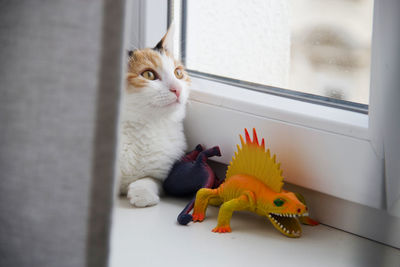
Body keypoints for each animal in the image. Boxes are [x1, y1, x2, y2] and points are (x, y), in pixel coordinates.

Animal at [118, 25, 191, 208]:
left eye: (178, 73)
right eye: (148, 75)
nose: (177, 89)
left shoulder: (161, 170)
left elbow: (150, 179)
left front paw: (142, 194)